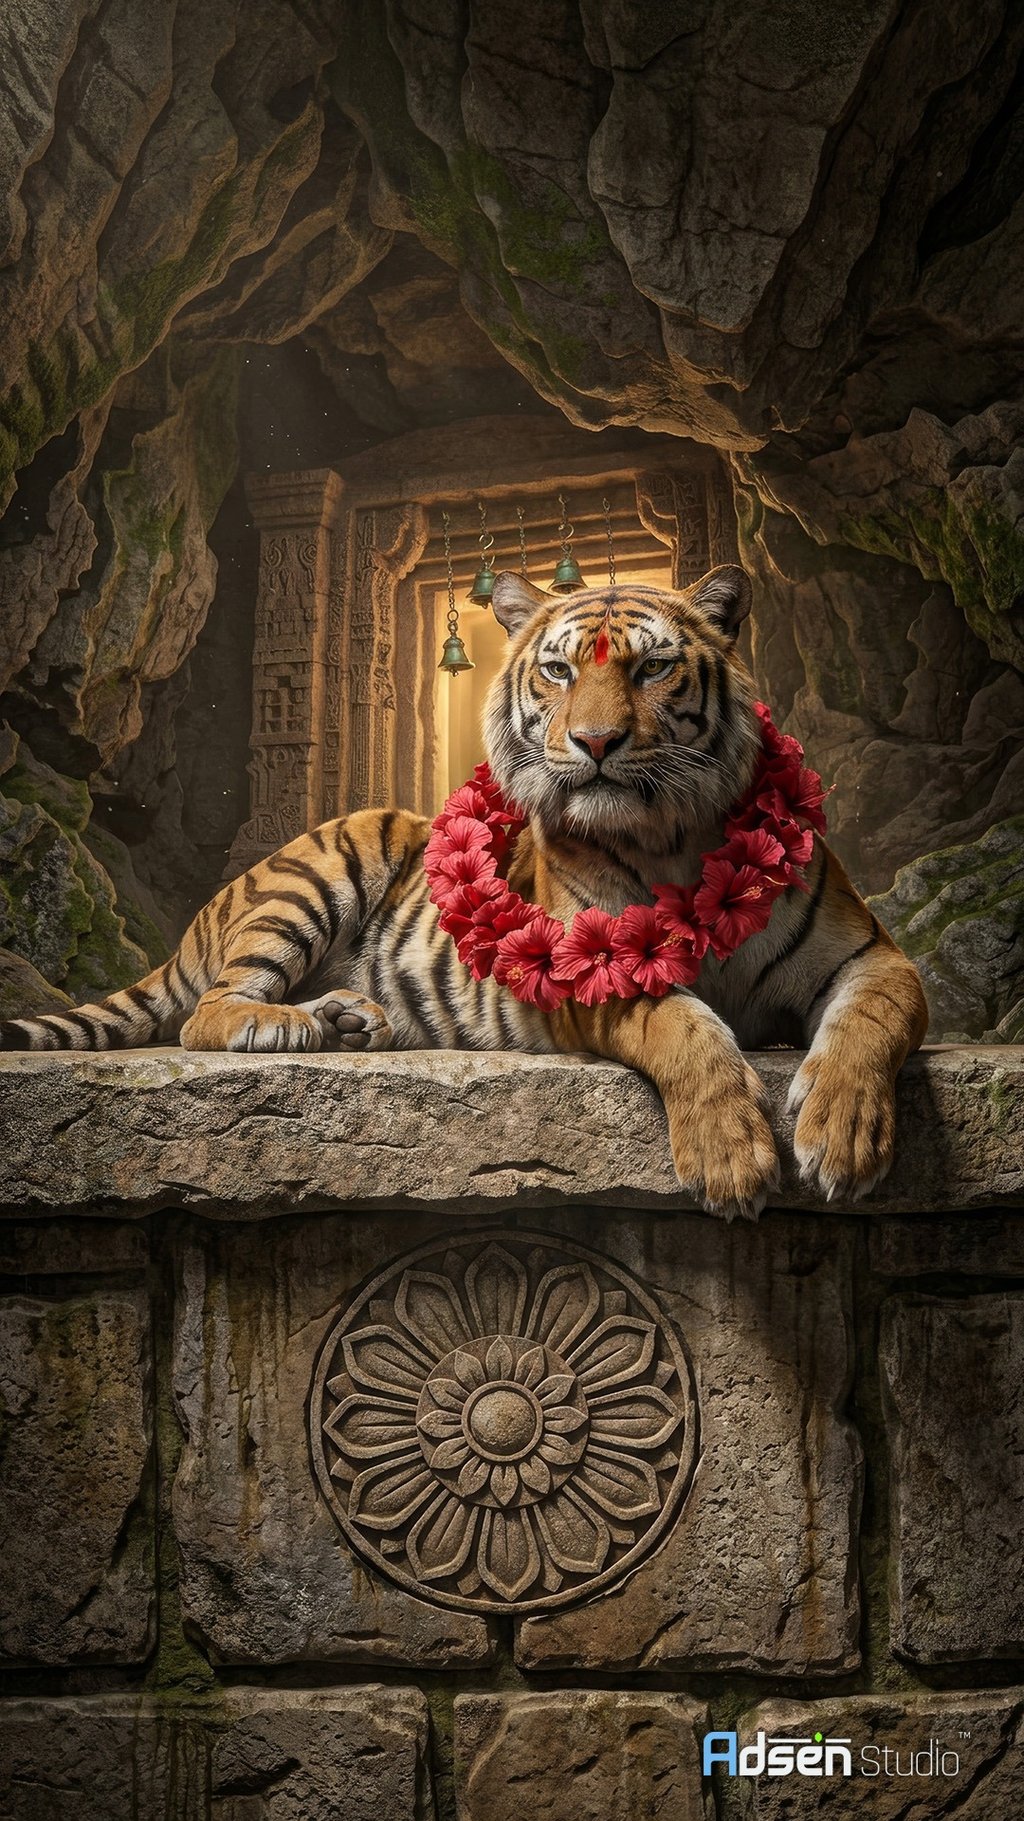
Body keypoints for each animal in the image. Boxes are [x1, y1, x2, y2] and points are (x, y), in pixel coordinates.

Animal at [0, 565, 928, 1218]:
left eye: (654, 668)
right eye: (557, 671)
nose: (595, 742)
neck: (675, 838)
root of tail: (203, 915)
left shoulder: (873, 955)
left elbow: (869, 1023)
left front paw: (843, 1138)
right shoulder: (588, 967)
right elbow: (685, 1026)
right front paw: (731, 1155)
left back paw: (349, 1018)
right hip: (329, 863)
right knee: (208, 1010)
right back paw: (289, 1023)